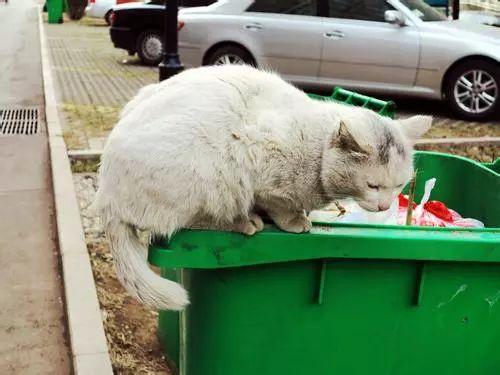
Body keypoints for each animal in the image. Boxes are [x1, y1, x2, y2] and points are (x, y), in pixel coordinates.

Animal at [95, 64, 432, 312]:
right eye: (373, 185)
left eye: (399, 185)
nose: (385, 205)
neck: (316, 151)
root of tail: (106, 198)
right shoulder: (262, 164)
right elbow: (279, 203)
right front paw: (295, 221)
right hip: (206, 176)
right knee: (189, 222)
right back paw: (244, 222)